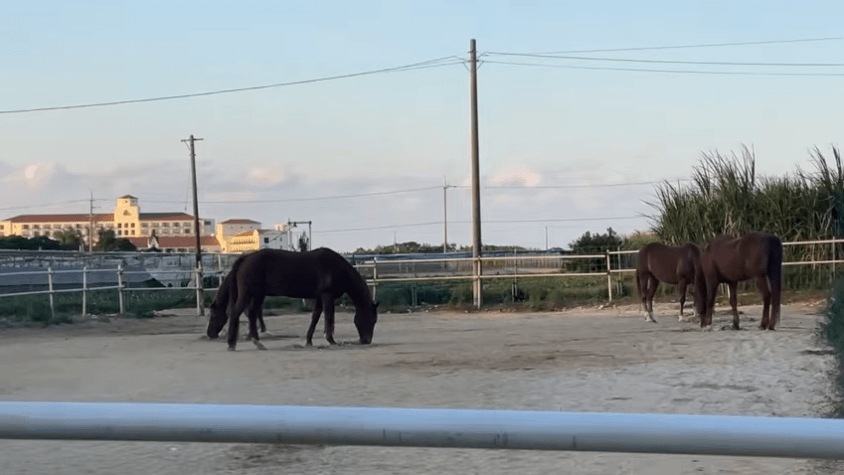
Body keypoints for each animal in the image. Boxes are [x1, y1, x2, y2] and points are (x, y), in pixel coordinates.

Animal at [206, 247, 379, 351]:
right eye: (371, 319)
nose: (366, 340)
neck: (337, 268)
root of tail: (245, 258)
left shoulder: (319, 297)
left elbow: (315, 317)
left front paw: (309, 341)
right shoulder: (327, 296)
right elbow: (329, 317)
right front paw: (331, 340)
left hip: (256, 295)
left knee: (252, 314)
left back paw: (257, 342)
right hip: (249, 294)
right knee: (236, 312)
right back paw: (232, 344)